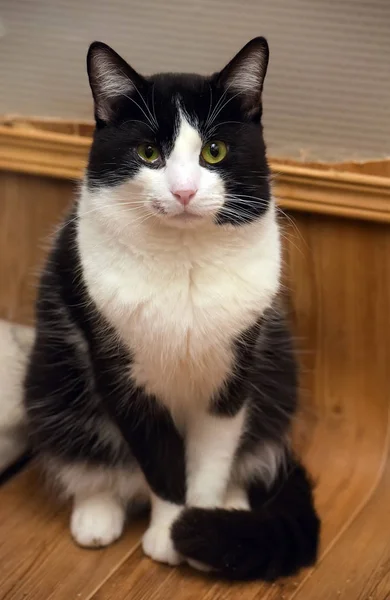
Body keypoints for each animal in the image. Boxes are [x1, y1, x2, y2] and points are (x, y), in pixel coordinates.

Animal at [25, 38, 322, 580]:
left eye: (214, 150)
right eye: (149, 153)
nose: (184, 191)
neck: (184, 261)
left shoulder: (233, 375)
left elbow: (210, 461)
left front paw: (195, 528)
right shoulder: (123, 377)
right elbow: (162, 464)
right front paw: (168, 534)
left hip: (278, 374)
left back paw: (230, 510)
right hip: (51, 379)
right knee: (89, 458)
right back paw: (95, 515)